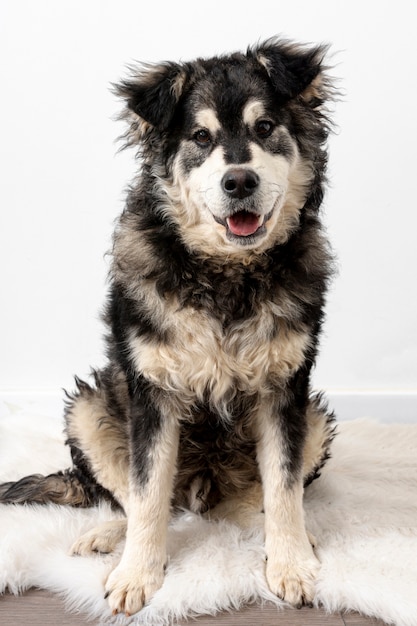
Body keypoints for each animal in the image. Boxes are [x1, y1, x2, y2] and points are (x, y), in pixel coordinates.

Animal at [0, 40, 334, 616]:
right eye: (200, 137)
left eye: (265, 127)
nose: (239, 181)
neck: (226, 274)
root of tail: (202, 491)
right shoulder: (152, 392)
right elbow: (148, 490)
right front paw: (137, 574)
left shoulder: (286, 390)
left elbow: (284, 486)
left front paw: (290, 563)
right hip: (89, 407)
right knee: (137, 499)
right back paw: (109, 535)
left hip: (314, 419)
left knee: (250, 501)